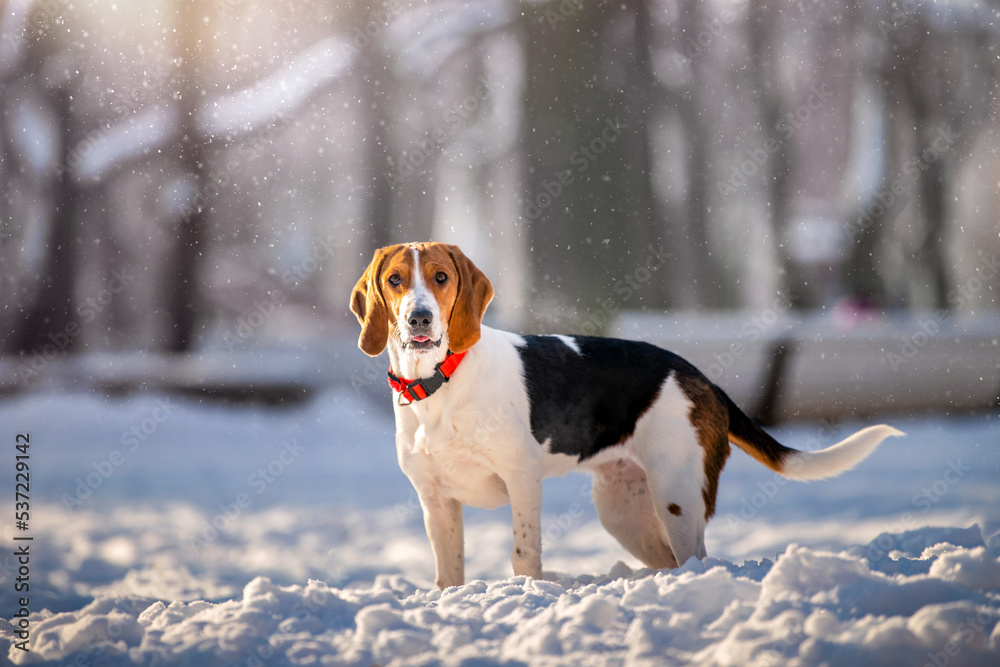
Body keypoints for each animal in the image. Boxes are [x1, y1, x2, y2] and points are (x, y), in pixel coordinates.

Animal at [354, 243, 908, 588]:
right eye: (395, 280)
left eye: (442, 278)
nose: (419, 319)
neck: (440, 383)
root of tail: (697, 375)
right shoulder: (436, 501)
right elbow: (448, 572)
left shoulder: (522, 478)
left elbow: (524, 554)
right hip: (624, 511)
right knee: (669, 561)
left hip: (678, 498)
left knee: (694, 560)